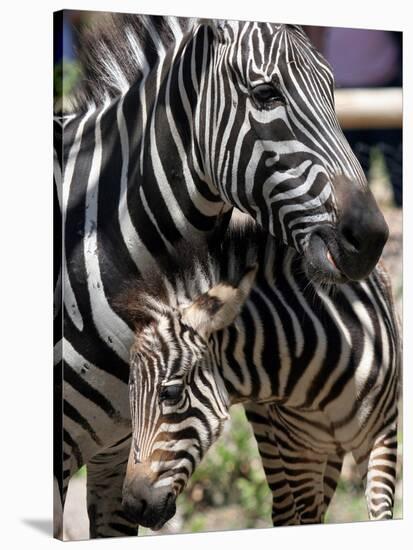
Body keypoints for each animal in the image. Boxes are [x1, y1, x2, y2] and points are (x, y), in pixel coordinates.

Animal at [118, 219, 400, 532]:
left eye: (171, 393)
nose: (132, 508)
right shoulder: (297, 451)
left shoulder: (382, 436)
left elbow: (380, 513)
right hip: (271, 434)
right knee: (285, 511)